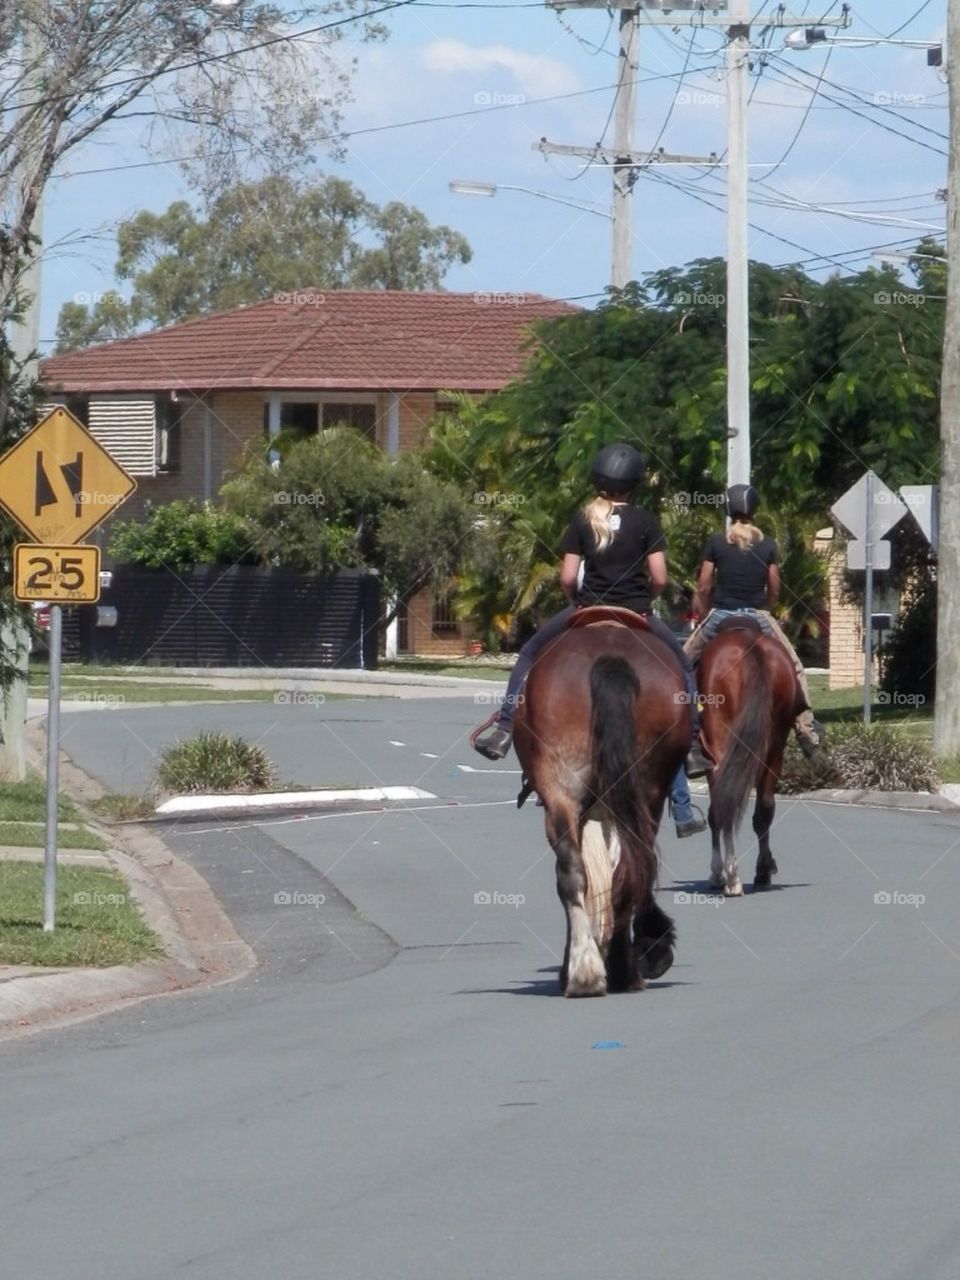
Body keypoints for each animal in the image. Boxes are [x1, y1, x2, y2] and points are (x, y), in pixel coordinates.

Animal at [512, 607, 691, 997]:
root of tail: (609, 657)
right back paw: (610, 968)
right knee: (627, 867)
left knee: (579, 871)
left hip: (566, 795)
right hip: (642, 792)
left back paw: (589, 971)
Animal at [696, 617, 805, 897]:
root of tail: (750, 648)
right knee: (763, 807)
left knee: (723, 803)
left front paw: (718, 873)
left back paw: (729, 875)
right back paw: (758, 871)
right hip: (776, 742)